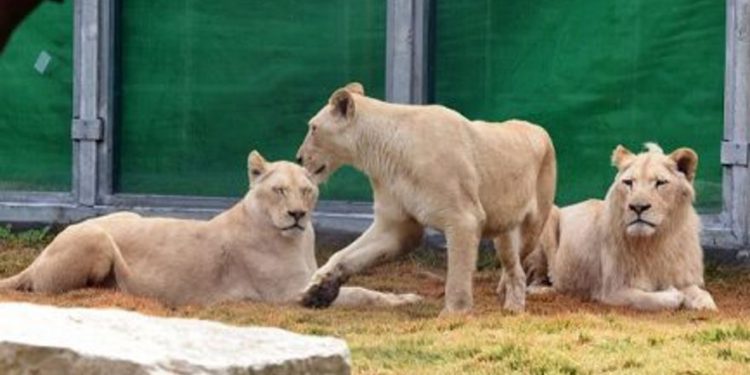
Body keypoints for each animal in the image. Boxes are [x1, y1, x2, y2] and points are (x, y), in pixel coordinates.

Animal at [0, 151, 424, 310]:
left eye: (306, 190)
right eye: (278, 190)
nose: (297, 214)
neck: (296, 239)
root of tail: (36, 259)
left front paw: (405, 296)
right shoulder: (285, 295)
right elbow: (363, 294)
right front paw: (404, 301)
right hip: (98, 239)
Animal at [296, 83, 560, 316]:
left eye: (313, 128)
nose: (298, 158)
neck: (381, 154)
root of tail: (540, 129)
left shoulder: (463, 217)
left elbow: (458, 273)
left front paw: (453, 314)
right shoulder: (396, 224)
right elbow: (346, 255)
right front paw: (317, 291)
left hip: (532, 227)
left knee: (518, 270)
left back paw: (513, 305)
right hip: (503, 233)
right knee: (512, 265)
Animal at [524, 144, 720, 312]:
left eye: (660, 183)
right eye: (629, 183)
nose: (638, 207)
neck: (656, 242)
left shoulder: (682, 275)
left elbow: (702, 293)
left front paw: (704, 303)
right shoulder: (611, 290)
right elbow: (646, 298)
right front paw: (673, 295)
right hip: (547, 218)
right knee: (533, 280)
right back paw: (545, 289)